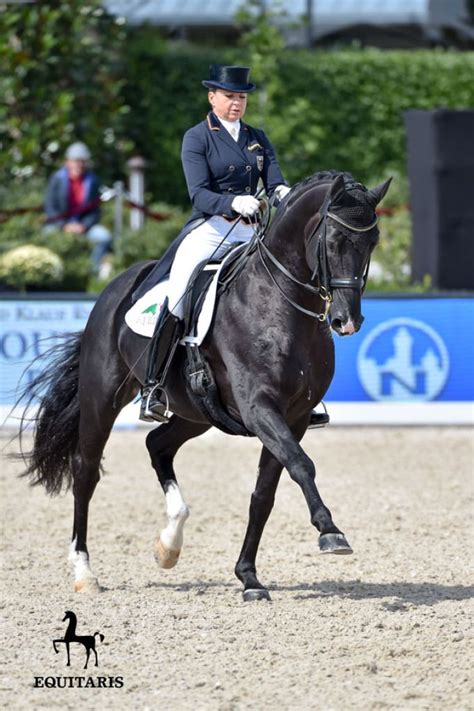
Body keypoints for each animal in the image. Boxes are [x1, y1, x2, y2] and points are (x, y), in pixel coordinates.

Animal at [18, 170, 391, 602]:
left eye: (372, 241)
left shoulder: (293, 418)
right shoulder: (260, 407)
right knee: (86, 471)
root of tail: (116, 287)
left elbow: (264, 494)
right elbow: (301, 464)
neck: (279, 302)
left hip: (196, 412)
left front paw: (249, 578)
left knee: (157, 445)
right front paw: (330, 533)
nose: (347, 321)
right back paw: (84, 571)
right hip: (102, 400)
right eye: (332, 241)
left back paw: (168, 545)